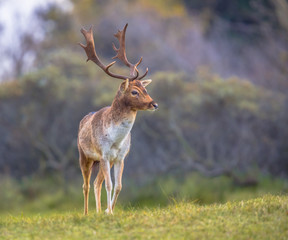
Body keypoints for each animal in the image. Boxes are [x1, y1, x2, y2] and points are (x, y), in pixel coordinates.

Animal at [77, 23, 158, 216]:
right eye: (134, 92)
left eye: (145, 89)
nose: (154, 104)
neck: (115, 140)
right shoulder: (104, 154)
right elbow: (109, 184)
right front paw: (110, 211)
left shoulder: (120, 157)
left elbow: (119, 185)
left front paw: (109, 210)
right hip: (84, 155)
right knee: (86, 185)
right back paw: (86, 213)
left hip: (102, 161)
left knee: (96, 183)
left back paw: (99, 211)